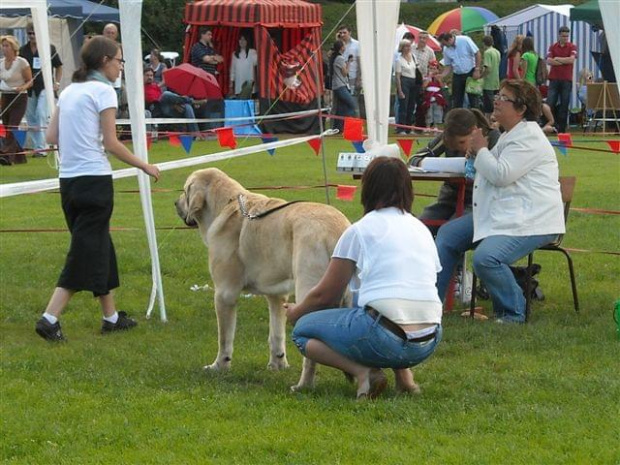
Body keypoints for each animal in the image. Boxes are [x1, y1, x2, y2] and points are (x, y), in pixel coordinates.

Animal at [176, 169, 348, 390]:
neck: (227, 204)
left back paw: (304, 385)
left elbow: (224, 339)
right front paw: (277, 364)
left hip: (308, 293)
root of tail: (338, 231)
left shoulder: (224, 294)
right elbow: (276, 335)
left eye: (185, 191)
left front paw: (219, 366)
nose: (175, 203)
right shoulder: (277, 296)